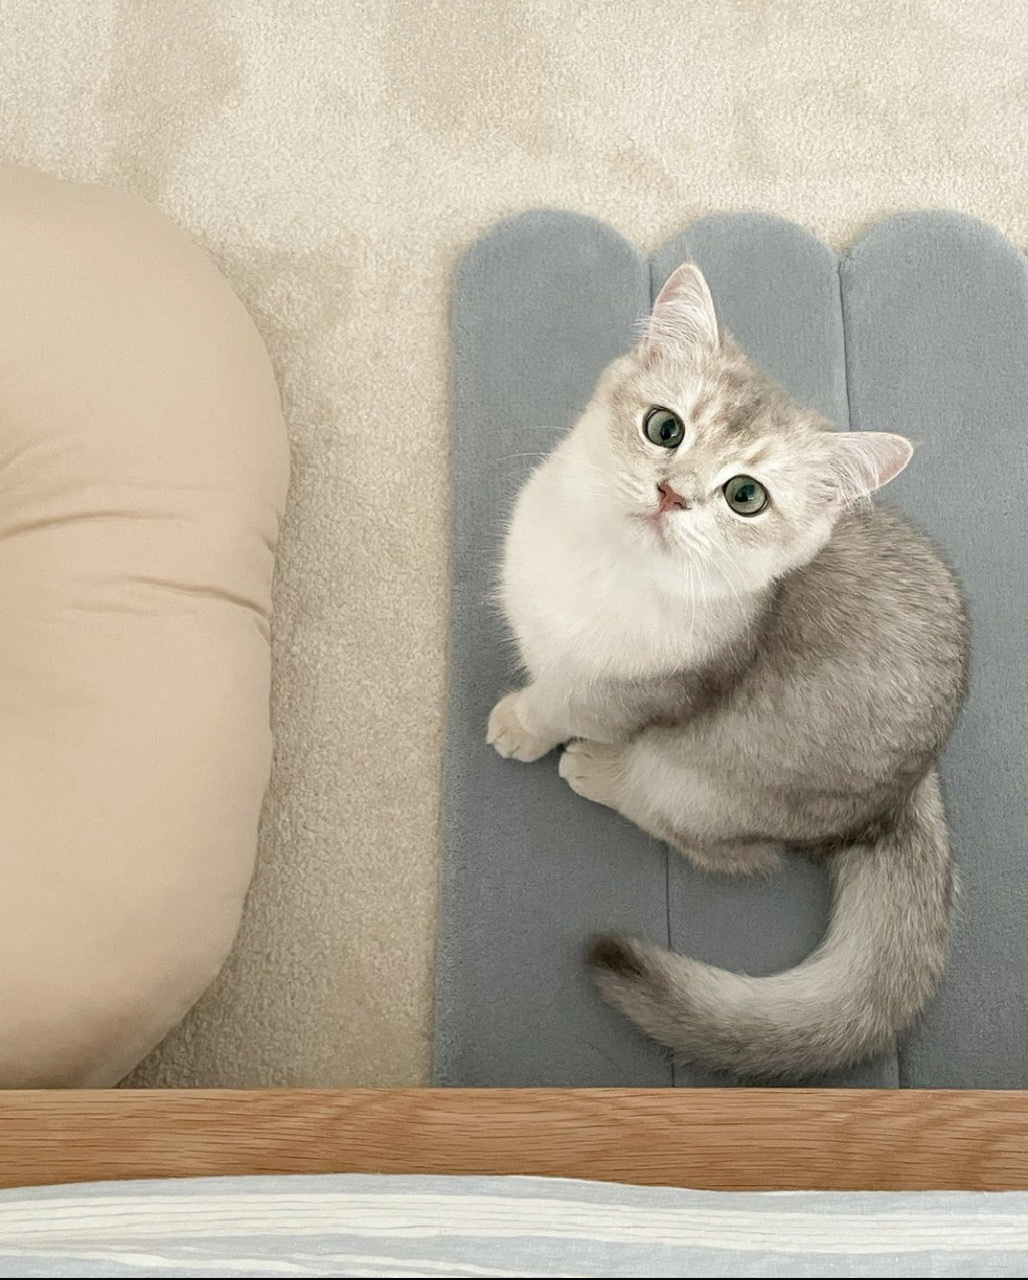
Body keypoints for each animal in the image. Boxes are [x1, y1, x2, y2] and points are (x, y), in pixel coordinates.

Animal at [487, 261, 969, 1081]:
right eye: (664, 428)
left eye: (746, 497)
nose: (672, 493)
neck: (604, 569)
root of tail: (899, 799)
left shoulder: (635, 695)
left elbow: (560, 706)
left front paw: (521, 727)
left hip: (711, 780)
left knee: (728, 851)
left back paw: (601, 774)